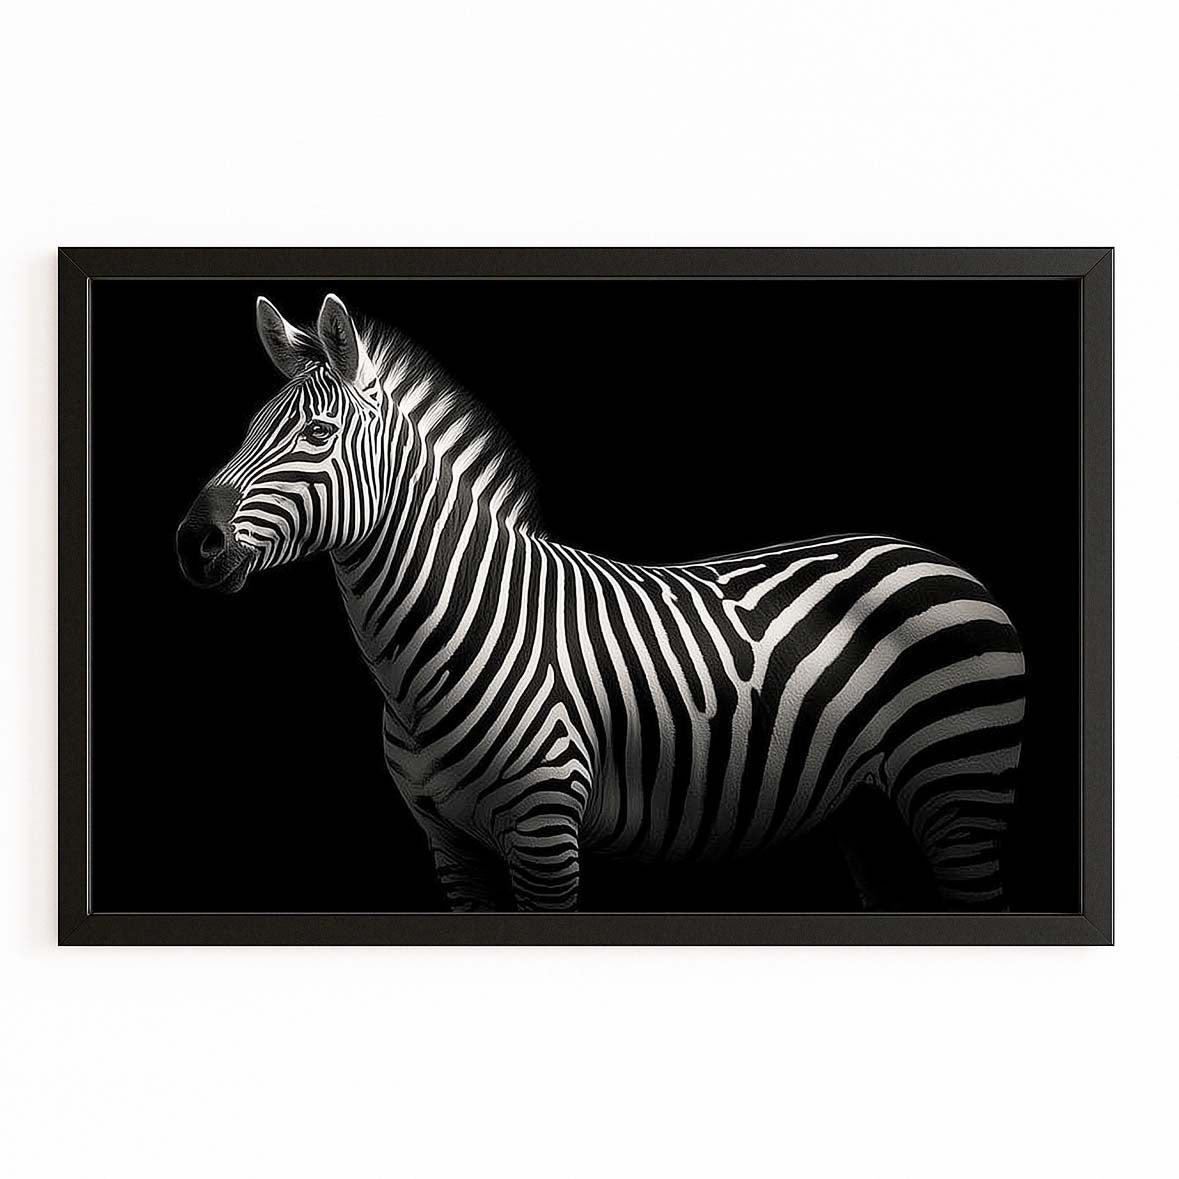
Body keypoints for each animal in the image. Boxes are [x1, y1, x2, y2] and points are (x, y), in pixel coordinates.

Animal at [177, 293, 1026, 912]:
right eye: (248, 428)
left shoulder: (544, 833)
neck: (429, 652)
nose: (194, 541)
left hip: (959, 788)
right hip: (864, 813)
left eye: (317, 434)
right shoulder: (449, 848)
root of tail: (937, 558)